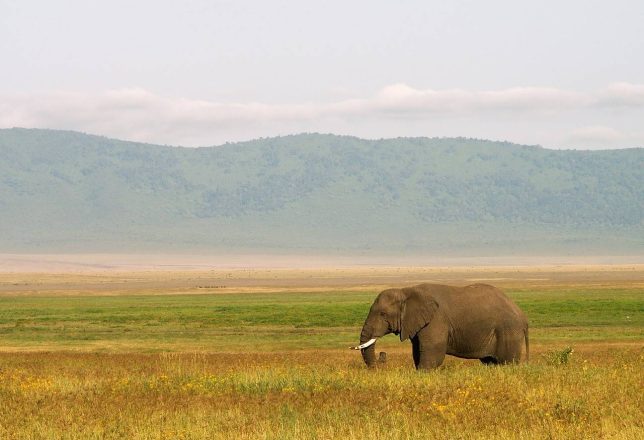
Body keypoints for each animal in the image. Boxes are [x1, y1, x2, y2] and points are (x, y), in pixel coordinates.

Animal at [353, 283, 529, 370]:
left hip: (508, 330)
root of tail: (522, 315)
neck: (406, 290)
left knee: (506, 363)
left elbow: (433, 354)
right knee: (490, 363)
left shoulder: (436, 320)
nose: (383, 355)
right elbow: (417, 352)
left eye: (382, 314)